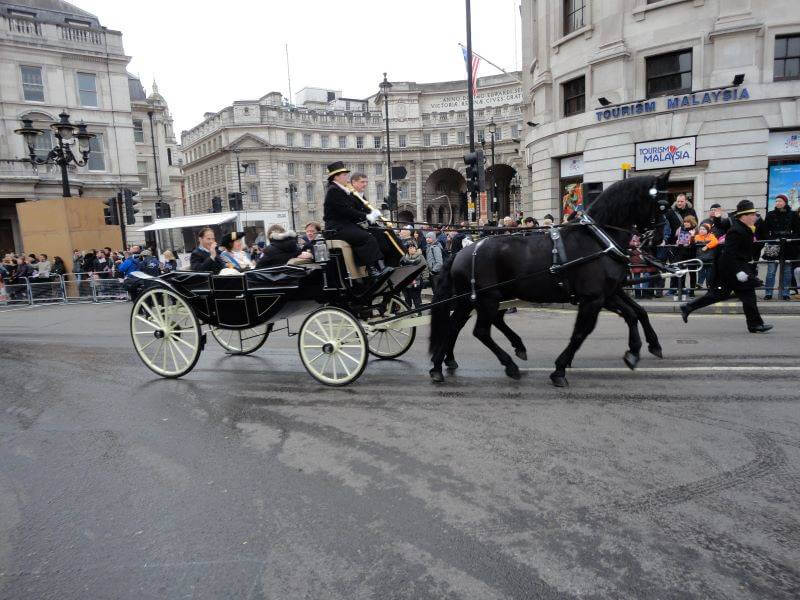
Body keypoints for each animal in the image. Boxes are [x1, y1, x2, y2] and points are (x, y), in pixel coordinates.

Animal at [432, 171, 668, 386]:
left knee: (456, 326)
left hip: (475, 298)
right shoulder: (593, 298)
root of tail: (460, 252)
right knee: (480, 331)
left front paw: (639, 349)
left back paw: (441, 365)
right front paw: (560, 369)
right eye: (662, 205)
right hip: (486, 298)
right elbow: (582, 332)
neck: (598, 240)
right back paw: (507, 364)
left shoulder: (607, 293)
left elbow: (634, 313)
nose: (657, 238)